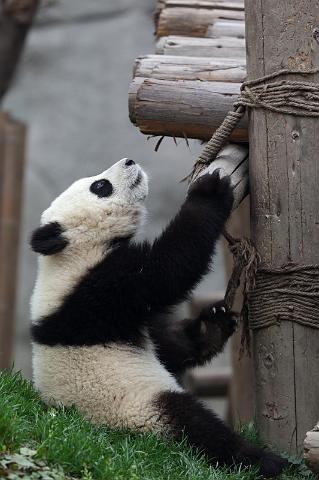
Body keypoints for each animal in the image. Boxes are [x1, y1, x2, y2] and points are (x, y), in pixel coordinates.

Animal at [31, 158, 288, 476]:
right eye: (100, 186)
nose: (129, 161)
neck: (70, 253)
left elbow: (167, 345)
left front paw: (212, 326)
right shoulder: (98, 290)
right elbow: (171, 267)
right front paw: (210, 191)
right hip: (137, 408)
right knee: (194, 425)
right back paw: (263, 460)